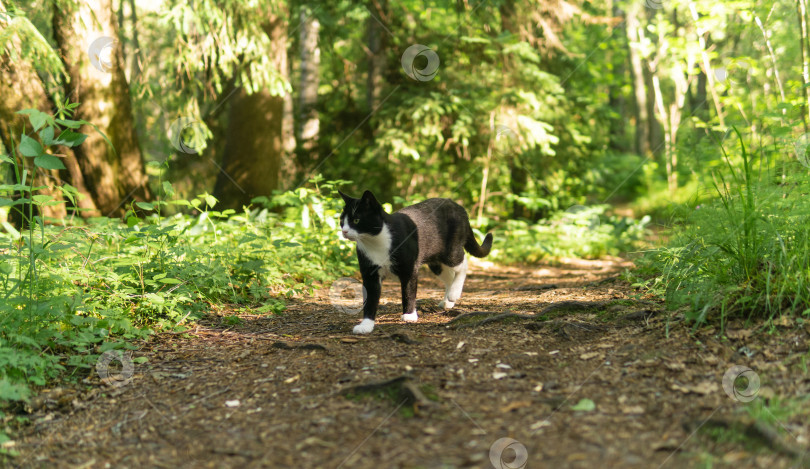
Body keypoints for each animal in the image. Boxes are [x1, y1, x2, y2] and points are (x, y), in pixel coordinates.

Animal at [336, 190, 492, 332]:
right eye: (342, 221)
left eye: (356, 220)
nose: (344, 231)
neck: (375, 242)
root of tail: (458, 207)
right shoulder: (370, 274)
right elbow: (370, 300)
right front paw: (366, 325)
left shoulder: (409, 269)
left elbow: (408, 292)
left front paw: (409, 315)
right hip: (436, 263)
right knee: (449, 277)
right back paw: (448, 301)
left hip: (450, 250)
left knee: (462, 264)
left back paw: (454, 293)